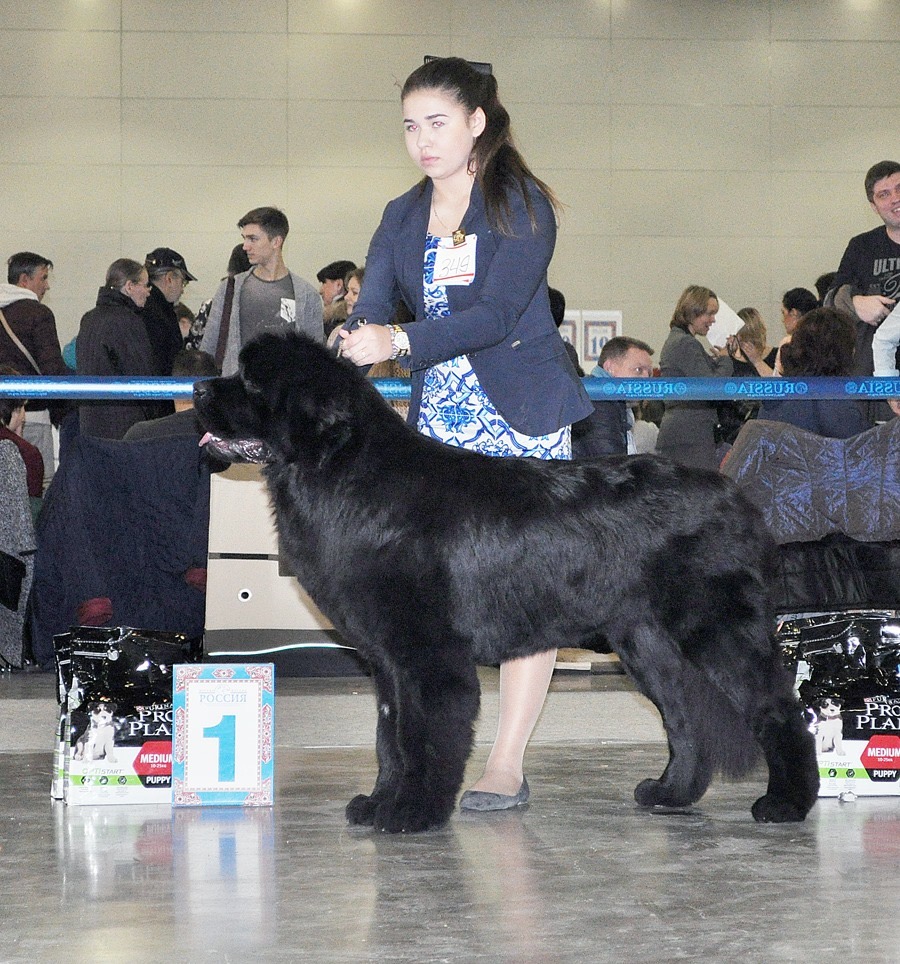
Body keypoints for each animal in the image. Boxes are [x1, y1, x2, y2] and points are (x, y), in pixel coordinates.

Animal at [193, 332, 820, 828]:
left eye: (251, 382)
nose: (198, 389)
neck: (342, 472)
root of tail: (739, 496)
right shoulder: (387, 660)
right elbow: (388, 738)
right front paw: (378, 803)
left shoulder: (426, 653)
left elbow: (422, 737)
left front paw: (411, 811)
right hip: (646, 643)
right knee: (685, 717)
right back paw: (670, 793)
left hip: (716, 631)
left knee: (778, 709)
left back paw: (787, 803)